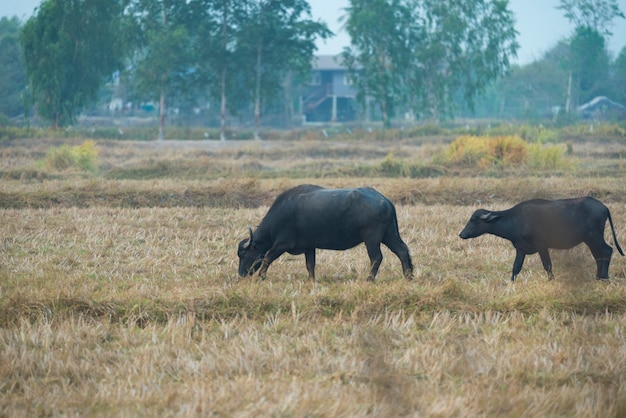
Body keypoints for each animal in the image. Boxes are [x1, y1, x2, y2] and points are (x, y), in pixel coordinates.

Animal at [236, 185, 412, 280]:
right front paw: (312, 280)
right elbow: (310, 265)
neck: (283, 213)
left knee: (376, 257)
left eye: (243, 255)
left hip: (372, 238)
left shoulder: (282, 244)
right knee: (402, 251)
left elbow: (267, 257)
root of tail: (385, 200)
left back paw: (369, 279)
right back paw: (408, 276)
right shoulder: (309, 247)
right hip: (389, 234)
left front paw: (261, 276)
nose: (241, 274)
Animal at [456, 198, 620, 282]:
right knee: (599, 255)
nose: (461, 234)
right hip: (590, 239)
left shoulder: (542, 246)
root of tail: (604, 207)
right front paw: (511, 283)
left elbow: (547, 265)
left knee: (606, 251)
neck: (515, 220)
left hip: (594, 236)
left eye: (474, 220)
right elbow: (516, 267)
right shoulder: (521, 249)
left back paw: (603, 277)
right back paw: (599, 277)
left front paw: (551, 280)